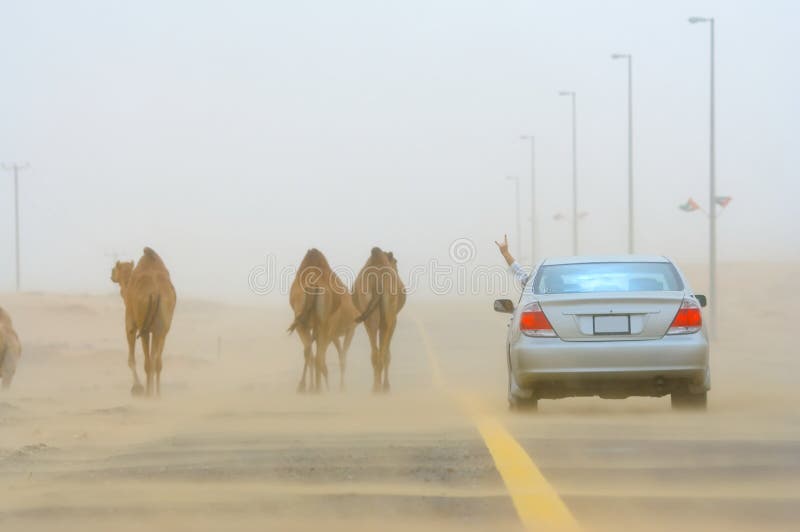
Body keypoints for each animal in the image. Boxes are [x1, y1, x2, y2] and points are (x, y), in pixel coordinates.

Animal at [110, 247, 176, 396]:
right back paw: (157, 395)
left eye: (115, 269)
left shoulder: (130, 323)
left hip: (144, 326)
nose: (111, 274)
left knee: (148, 362)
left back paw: (147, 394)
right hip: (162, 327)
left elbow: (131, 360)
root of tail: (156, 293)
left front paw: (137, 388)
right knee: (156, 362)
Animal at [284, 248, 354, 390]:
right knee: (319, 357)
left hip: (302, 322)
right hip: (324, 325)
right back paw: (319, 388)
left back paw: (307, 387)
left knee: (310, 353)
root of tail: (312, 283)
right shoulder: (346, 329)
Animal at [354, 247, 406, 392]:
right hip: (388, 316)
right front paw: (387, 387)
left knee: (375, 353)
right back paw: (381, 388)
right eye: (396, 262)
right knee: (383, 353)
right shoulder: (394, 321)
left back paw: (375, 388)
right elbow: (388, 353)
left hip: (368, 312)